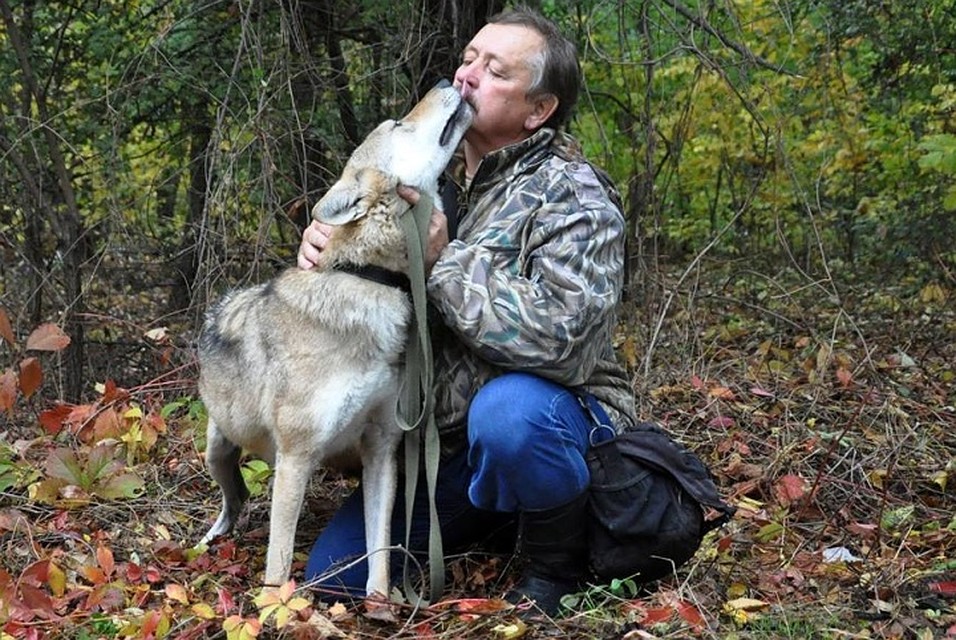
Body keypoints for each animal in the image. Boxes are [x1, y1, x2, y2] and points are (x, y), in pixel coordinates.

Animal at [198, 81, 474, 600]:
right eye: (398, 124)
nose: (449, 83)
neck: (369, 278)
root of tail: (218, 306)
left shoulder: (383, 449)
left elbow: (380, 548)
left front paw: (380, 604)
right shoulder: (296, 456)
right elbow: (278, 563)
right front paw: (275, 608)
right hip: (219, 451)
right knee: (233, 500)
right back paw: (208, 540)